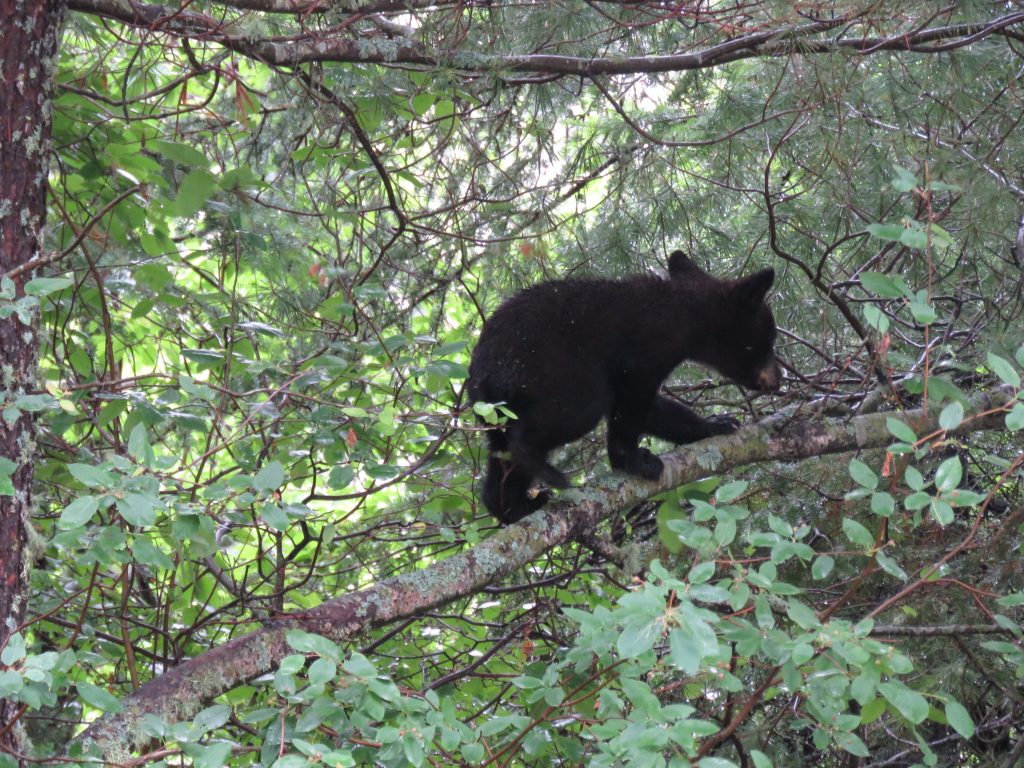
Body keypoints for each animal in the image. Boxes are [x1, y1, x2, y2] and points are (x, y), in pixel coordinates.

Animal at [467, 250, 781, 524]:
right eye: (767, 340)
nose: (778, 380)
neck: (686, 316)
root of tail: (483, 374)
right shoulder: (645, 351)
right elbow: (631, 403)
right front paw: (633, 460)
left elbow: (653, 409)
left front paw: (716, 424)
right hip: (551, 369)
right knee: (573, 411)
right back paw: (542, 469)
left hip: (495, 411)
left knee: (500, 453)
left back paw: (514, 506)